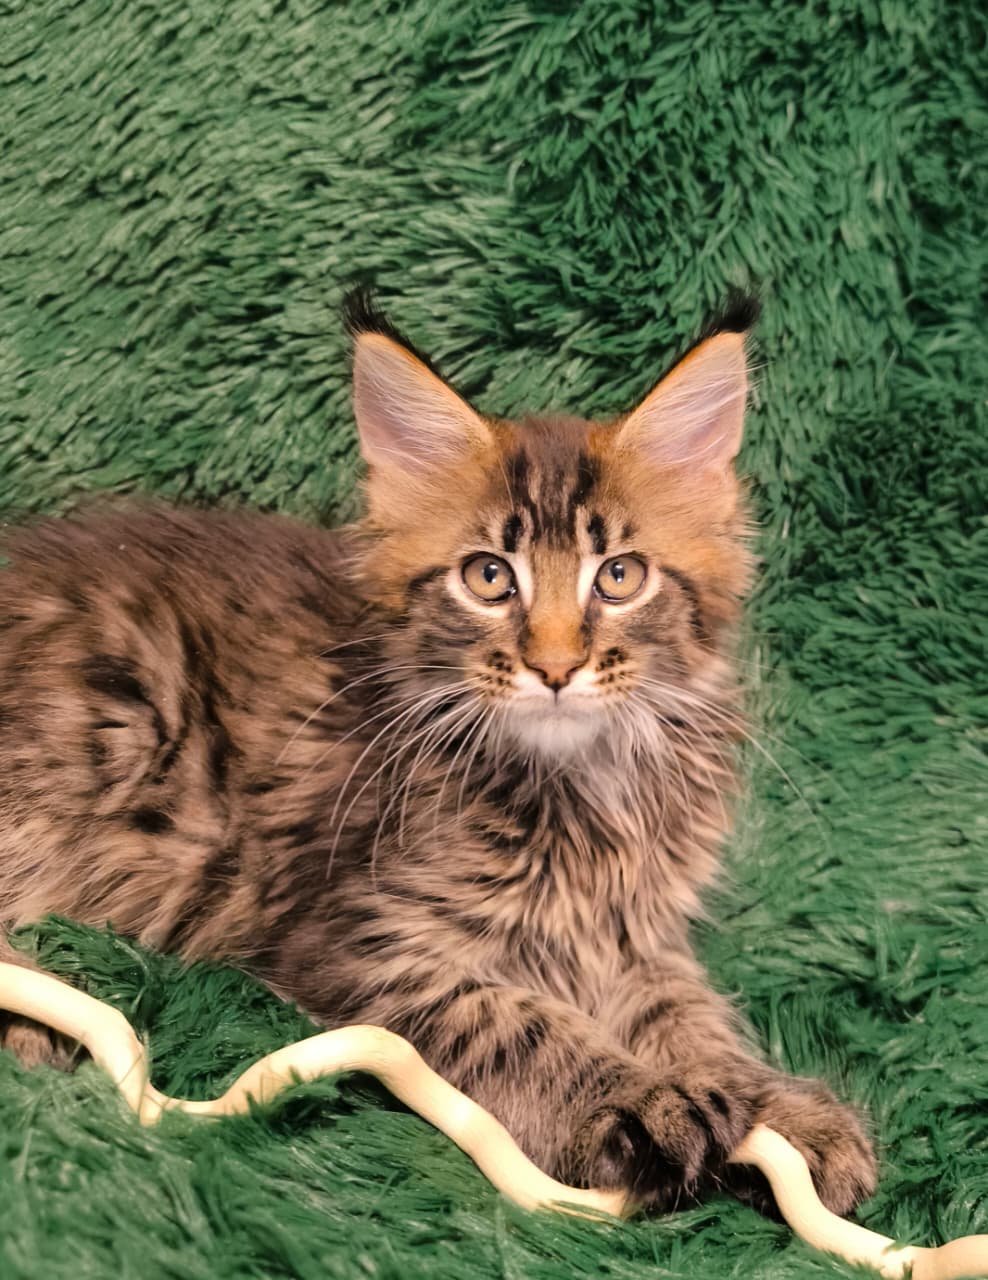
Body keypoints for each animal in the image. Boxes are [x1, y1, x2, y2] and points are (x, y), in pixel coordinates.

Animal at [0, 289, 876, 1215]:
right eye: (489, 577)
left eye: (620, 576)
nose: (555, 667)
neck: (582, 790)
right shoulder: (365, 937)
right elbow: (520, 1025)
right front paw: (639, 1100)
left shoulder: (633, 936)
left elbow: (696, 1020)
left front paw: (781, 1112)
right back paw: (33, 1017)